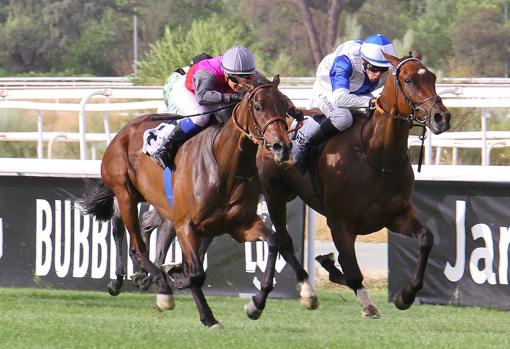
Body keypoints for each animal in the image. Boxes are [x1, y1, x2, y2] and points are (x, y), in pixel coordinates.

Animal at [79, 75, 314, 326]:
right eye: (258, 106)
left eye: (286, 106)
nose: (282, 147)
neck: (225, 165)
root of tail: (122, 133)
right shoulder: (186, 225)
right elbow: (197, 273)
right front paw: (177, 280)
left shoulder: (239, 225)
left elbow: (273, 241)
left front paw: (255, 305)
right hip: (125, 194)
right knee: (133, 242)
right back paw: (157, 287)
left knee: (133, 228)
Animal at [255, 49, 450, 318]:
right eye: (409, 80)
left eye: (432, 77)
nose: (442, 117)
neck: (376, 157)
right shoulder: (339, 223)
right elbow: (354, 271)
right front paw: (368, 304)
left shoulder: (396, 214)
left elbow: (426, 239)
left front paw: (405, 295)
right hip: (273, 194)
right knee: (282, 240)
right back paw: (301, 293)